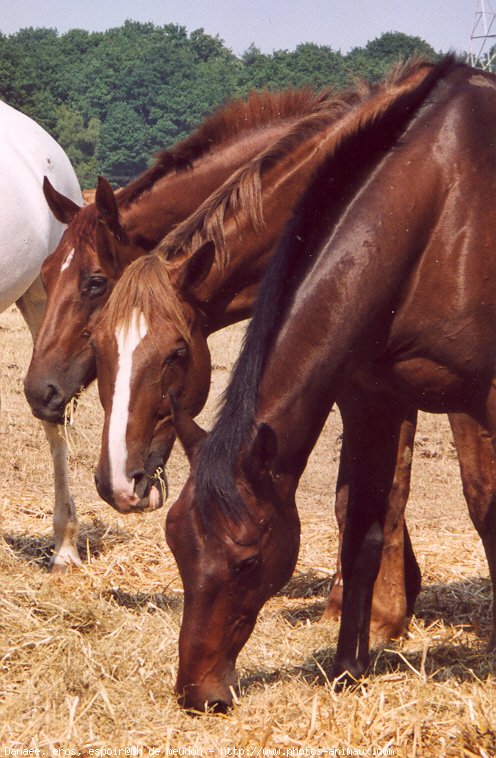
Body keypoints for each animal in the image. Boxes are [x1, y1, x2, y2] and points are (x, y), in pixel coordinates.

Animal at [163, 56, 496, 716]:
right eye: (177, 545)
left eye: (247, 561)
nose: (198, 692)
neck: (439, 207)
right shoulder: (376, 402)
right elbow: (363, 536)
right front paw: (348, 668)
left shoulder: (485, 398)